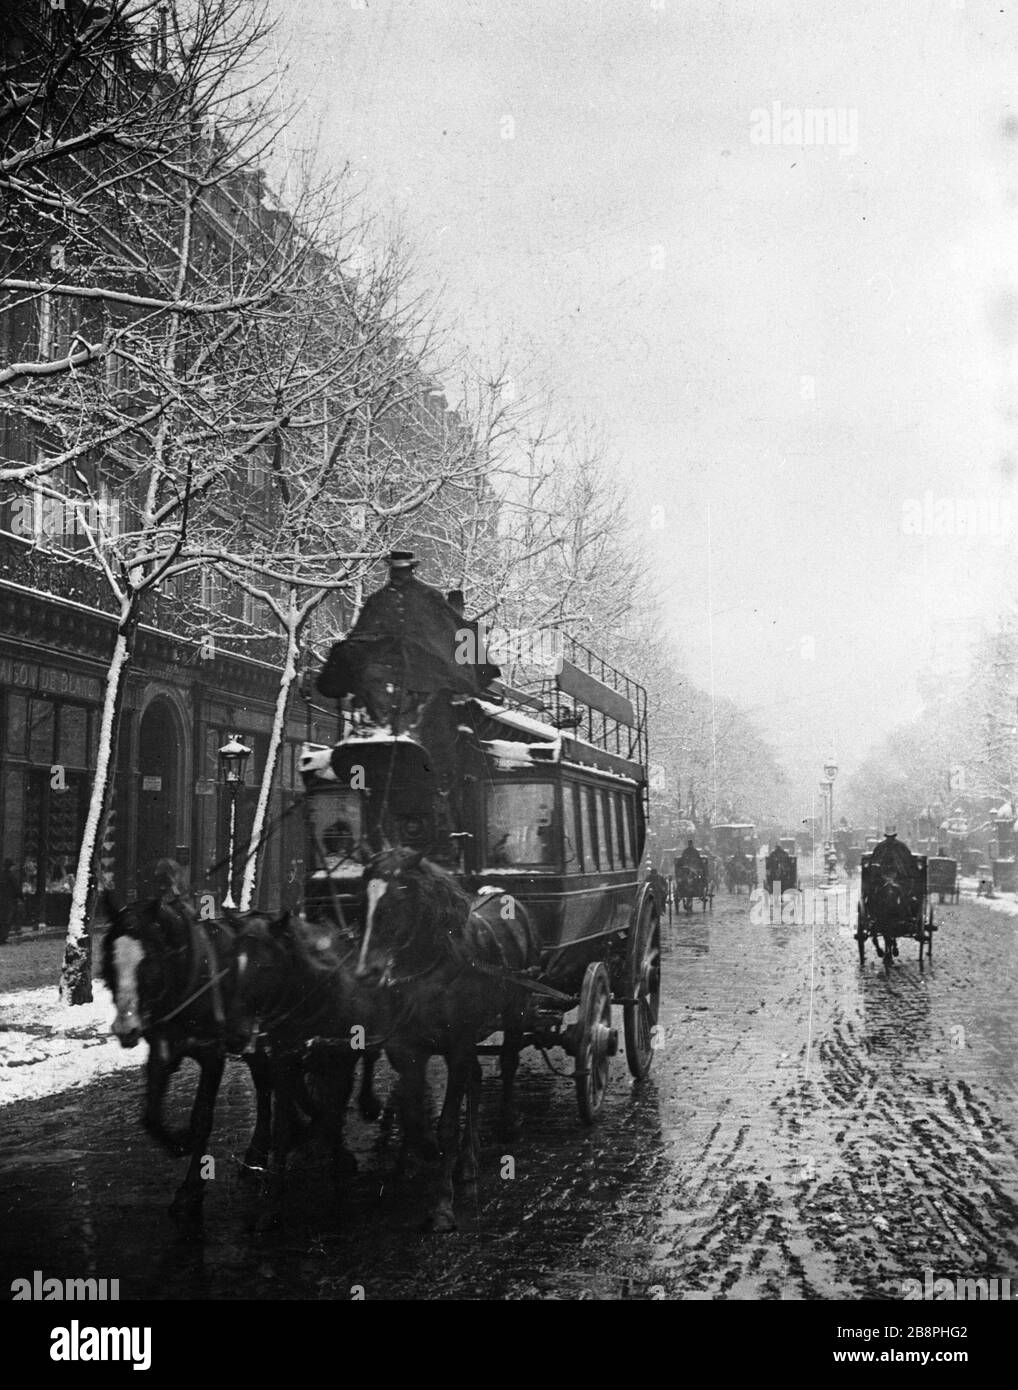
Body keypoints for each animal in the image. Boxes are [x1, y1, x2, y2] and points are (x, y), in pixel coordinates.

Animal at [101, 889, 272, 1228]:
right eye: (111, 962)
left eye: (149, 962)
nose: (126, 1029)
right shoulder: (162, 1051)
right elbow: (151, 1117)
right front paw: (181, 1141)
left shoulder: (212, 1053)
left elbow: (203, 1118)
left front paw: (190, 1191)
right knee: (265, 1083)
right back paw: (257, 1155)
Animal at [228, 911, 383, 1228]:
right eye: (232, 965)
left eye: (266, 966)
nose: (236, 1034)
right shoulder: (284, 1066)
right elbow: (284, 1126)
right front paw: (272, 1194)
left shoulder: (340, 1066)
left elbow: (333, 1117)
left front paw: (339, 1168)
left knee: (371, 1059)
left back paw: (368, 1104)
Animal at [358, 845, 536, 1228]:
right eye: (363, 899)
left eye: (397, 900)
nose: (367, 972)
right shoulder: (408, 1050)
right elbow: (413, 1114)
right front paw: (422, 1153)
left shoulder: (457, 1046)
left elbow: (447, 1125)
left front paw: (441, 1206)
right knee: (476, 1078)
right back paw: (468, 1162)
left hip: (516, 1010)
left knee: (508, 1062)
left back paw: (505, 1125)